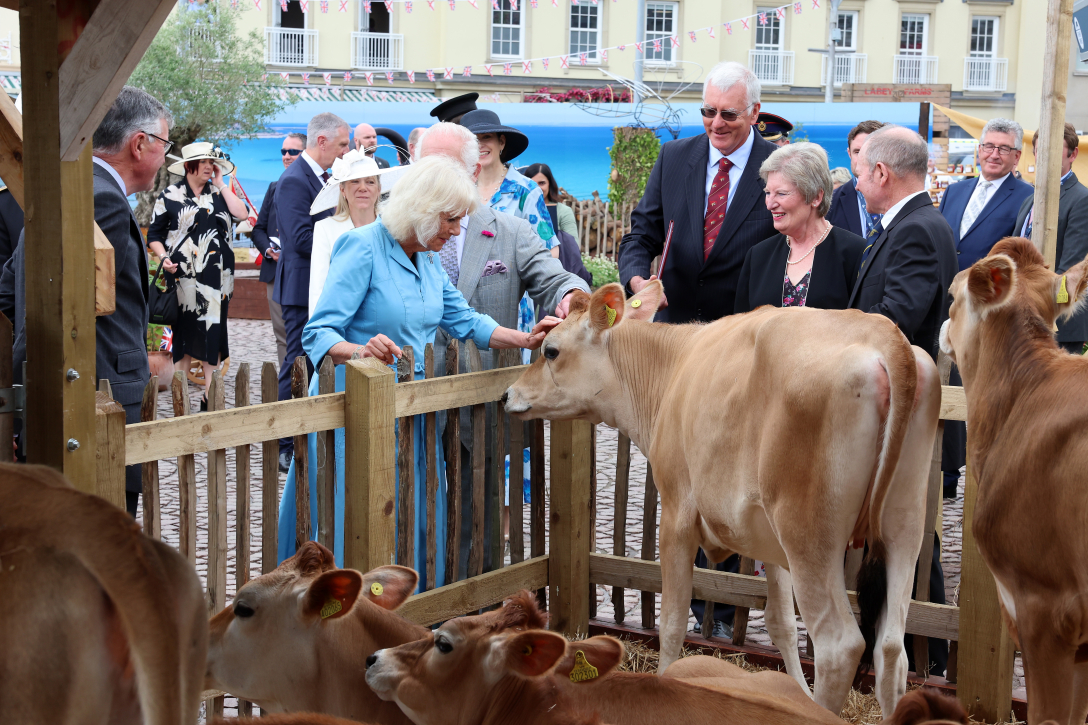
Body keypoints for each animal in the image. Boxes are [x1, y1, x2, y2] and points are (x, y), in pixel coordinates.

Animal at [500, 280, 944, 709]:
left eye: (550, 350)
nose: (506, 394)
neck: (671, 369)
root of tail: (884, 335)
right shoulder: (769, 542)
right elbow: (781, 622)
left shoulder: (676, 515)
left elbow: (673, 622)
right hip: (902, 527)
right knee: (891, 650)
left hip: (808, 536)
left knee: (840, 646)